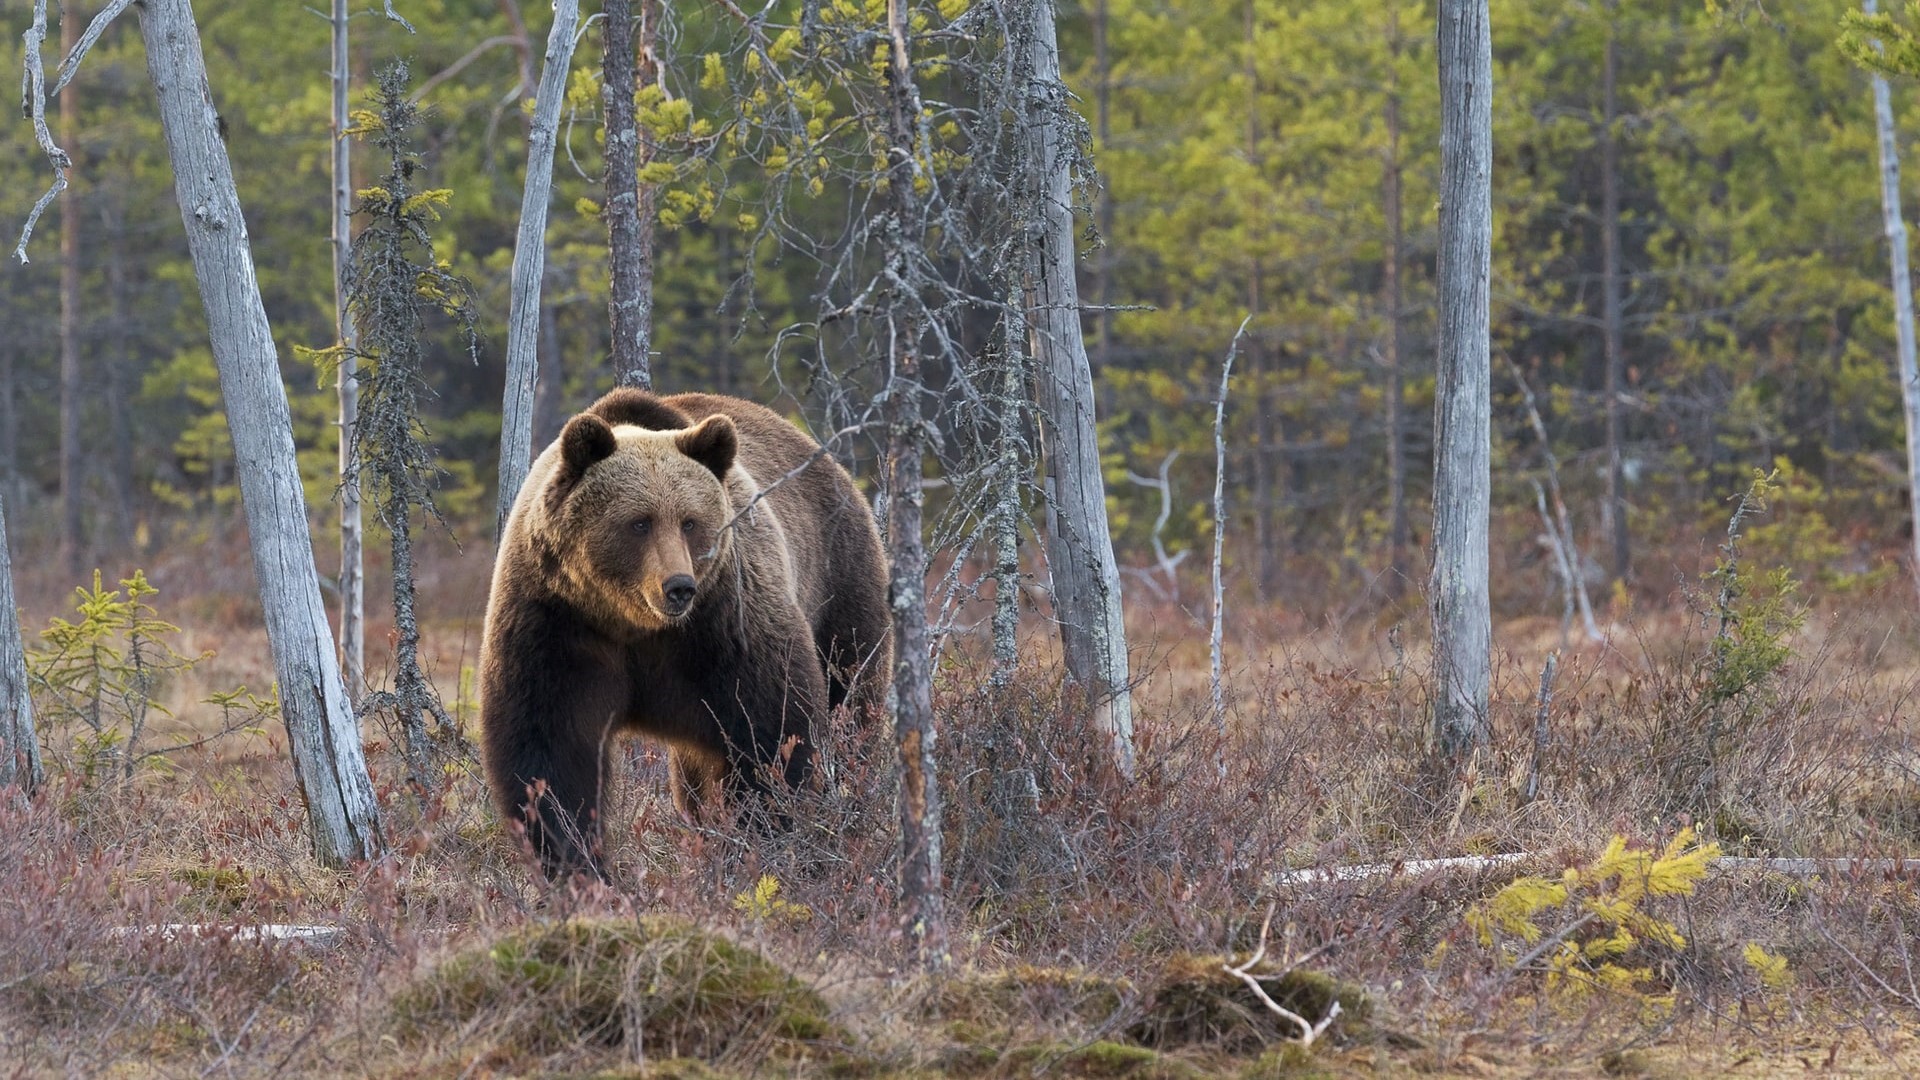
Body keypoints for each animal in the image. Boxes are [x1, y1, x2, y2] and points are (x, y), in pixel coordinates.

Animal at [483, 386, 894, 876]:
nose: (678, 586)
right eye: (639, 522)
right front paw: (576, 863)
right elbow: (550, 750)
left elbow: (772, 731)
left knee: (849, 703)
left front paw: (761, 841)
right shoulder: (556, 621)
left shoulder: (725, 622)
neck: (633, 623)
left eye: (690, 521)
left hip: (840, 584)